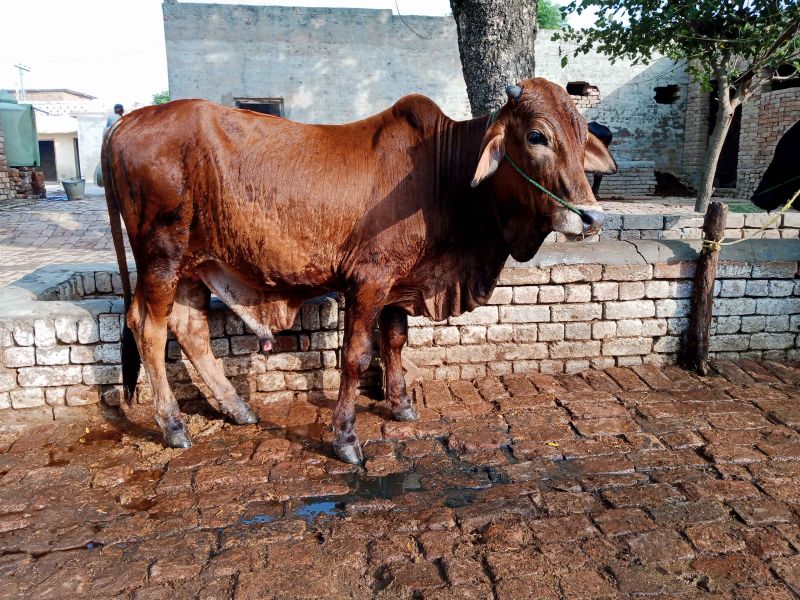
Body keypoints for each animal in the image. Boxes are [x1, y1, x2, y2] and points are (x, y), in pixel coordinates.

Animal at [102, 77, 617, 464]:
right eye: (536, 136)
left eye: (581, 136)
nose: (592, 218)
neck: (444, 174)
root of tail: (127, 121)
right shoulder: (368, 281)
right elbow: (355, 357)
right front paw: (346, 439)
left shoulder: (399, 282)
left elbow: (395, 341)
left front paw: (401, 405)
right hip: (161, 257)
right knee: (148, 327)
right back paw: (173, 426)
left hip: (195, 264)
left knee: (190, 328)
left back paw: (238, 409)